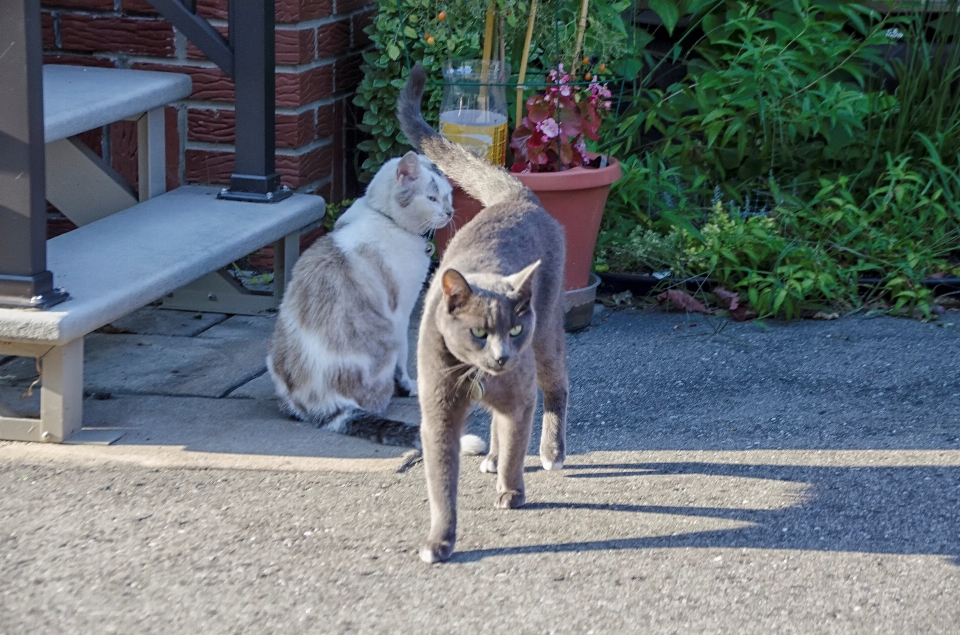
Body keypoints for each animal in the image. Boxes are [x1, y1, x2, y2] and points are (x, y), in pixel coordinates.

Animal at [394, 62, 568, 564]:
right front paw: (440, 540)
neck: (476, 375)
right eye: (477, 332)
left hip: (547, 334)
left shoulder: (521, 393)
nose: (501, 356)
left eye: (514, 328)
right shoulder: (437, 413)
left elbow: (516, 445)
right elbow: (441, 482)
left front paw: (512, 491)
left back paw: (551, 451)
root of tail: (519, 197)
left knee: (557, 386)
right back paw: (489, 456)